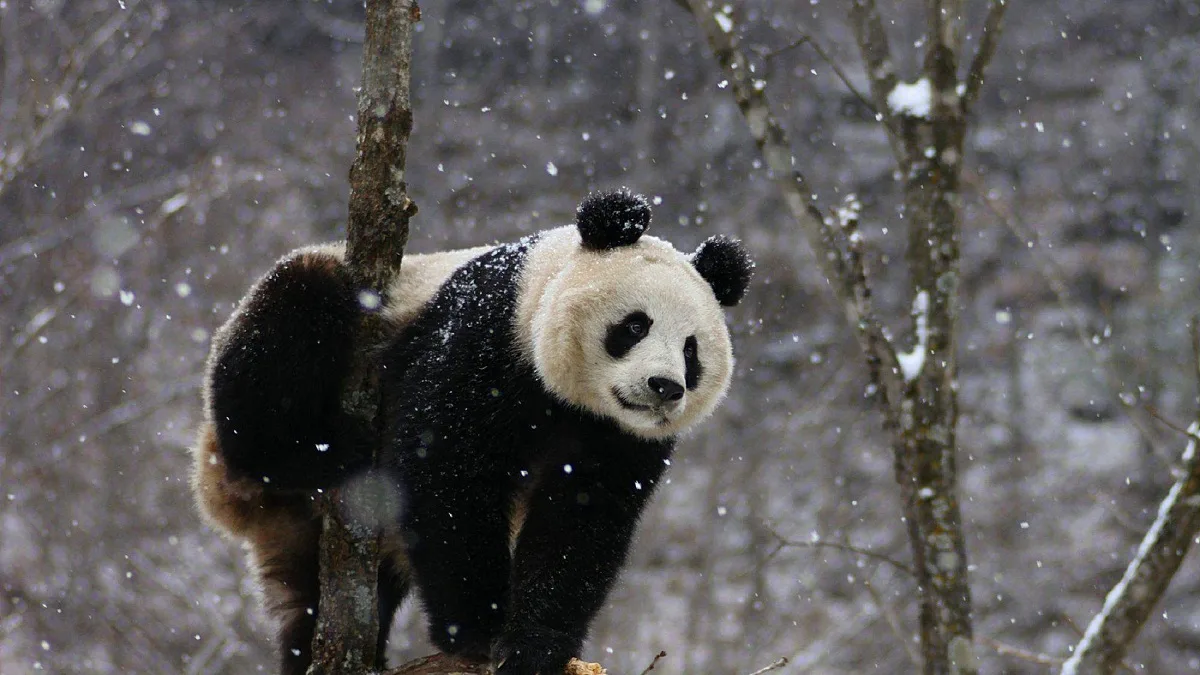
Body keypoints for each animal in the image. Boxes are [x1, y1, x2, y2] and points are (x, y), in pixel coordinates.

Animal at [191, 189, 753, 675]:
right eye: (635, 326)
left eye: (691, 350)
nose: (664, 387)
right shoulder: (481, 338)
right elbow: (447, 470)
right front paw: (478, 629)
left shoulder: (620, 436)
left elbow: (583, 518)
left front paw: (534, 646)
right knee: (296, 306)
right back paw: (323, 451)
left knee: (321, 598)